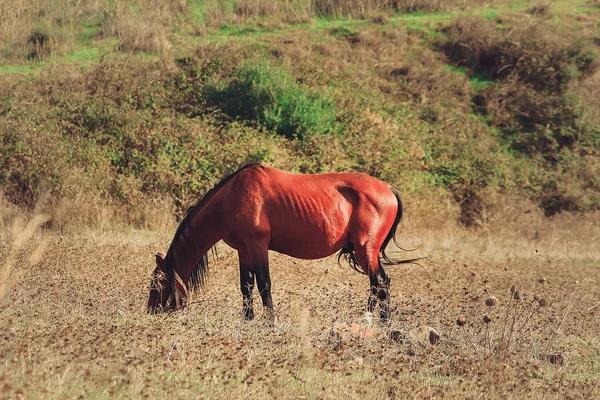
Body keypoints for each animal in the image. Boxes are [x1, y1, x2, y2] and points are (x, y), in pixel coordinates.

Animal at [146, 162, 418, 322]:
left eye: (157, 283)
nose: (150, 312)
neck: (230, 199)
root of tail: (389, 189)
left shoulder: (257, 245)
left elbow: (264, 285)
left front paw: (270, 322)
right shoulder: (244, 250)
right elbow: (246, 287)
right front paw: (248, 321)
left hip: (366, 250)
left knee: (379, 283)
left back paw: (374, 322)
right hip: (366, 252)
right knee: (379, 284)